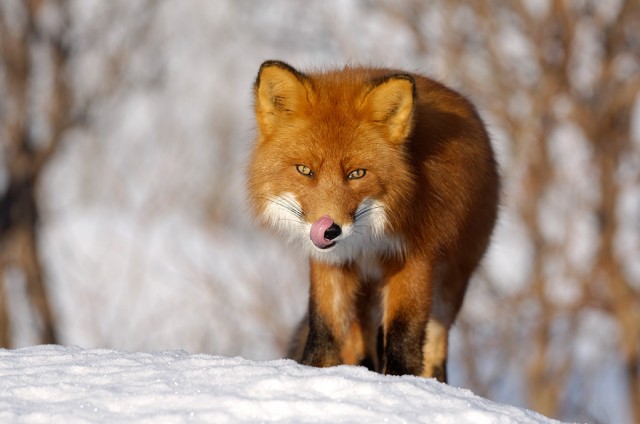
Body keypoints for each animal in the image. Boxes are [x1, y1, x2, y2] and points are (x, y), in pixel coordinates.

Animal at [248, 61, 498, 382]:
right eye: (304, 170)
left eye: (357, 173)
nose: (329, 230)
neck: (368, 240)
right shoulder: (331, 265)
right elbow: (323, 334)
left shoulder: (415, 260)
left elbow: (403, 339)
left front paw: (402, 384)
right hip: (363, 296)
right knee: (361, 347)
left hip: (450, 285)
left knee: (435, 348)